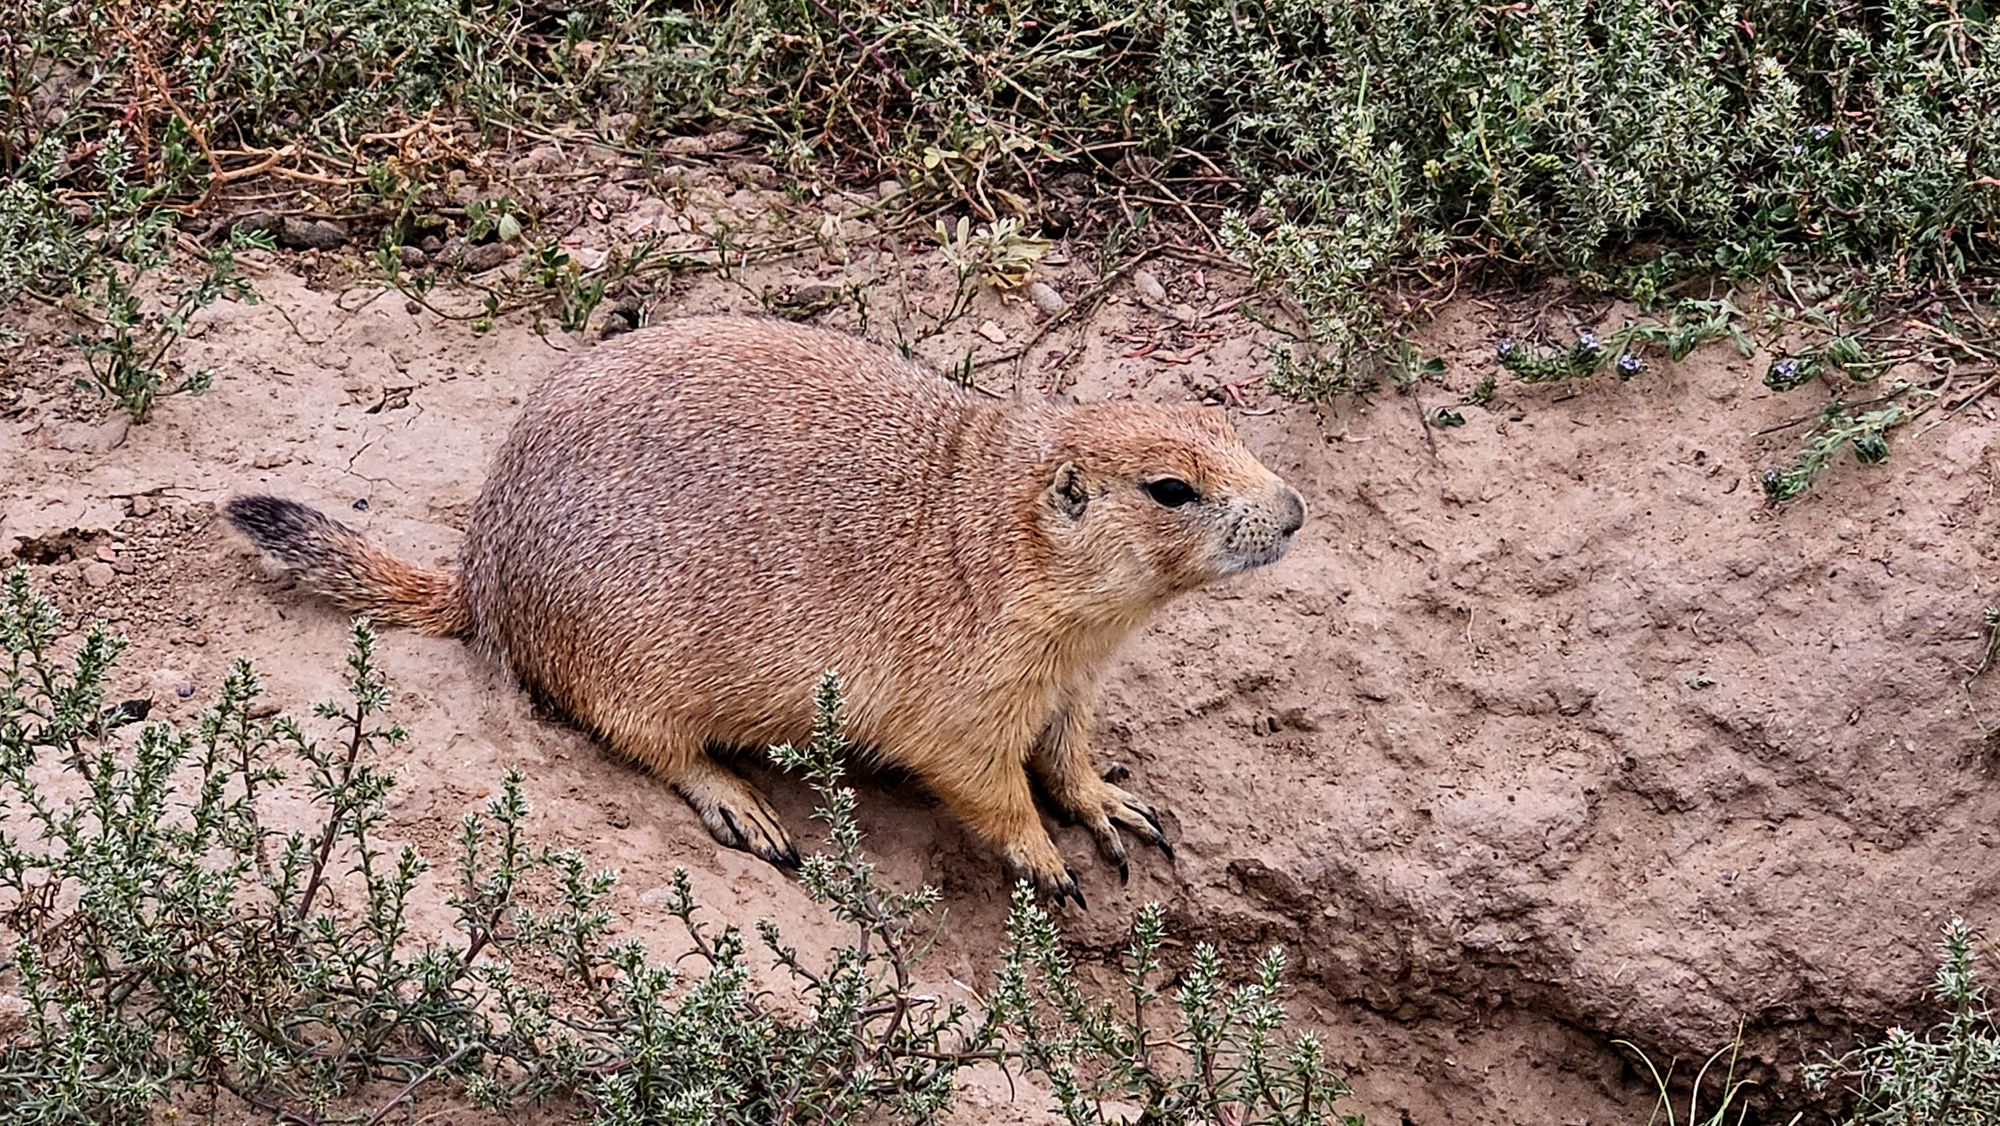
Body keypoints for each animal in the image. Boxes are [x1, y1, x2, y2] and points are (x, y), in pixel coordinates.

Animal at [224, 314, 1305, 906]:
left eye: (1220, 417)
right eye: (1170, 488)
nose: (1295, 508)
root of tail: (480, 571)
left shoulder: (1073, 675)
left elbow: (1069, 749)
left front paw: (1110, 805)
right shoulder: (970, 687)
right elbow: (983, 778)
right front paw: (1046, 858)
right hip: (626, 658)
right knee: (636, 734)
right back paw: (738, 802)